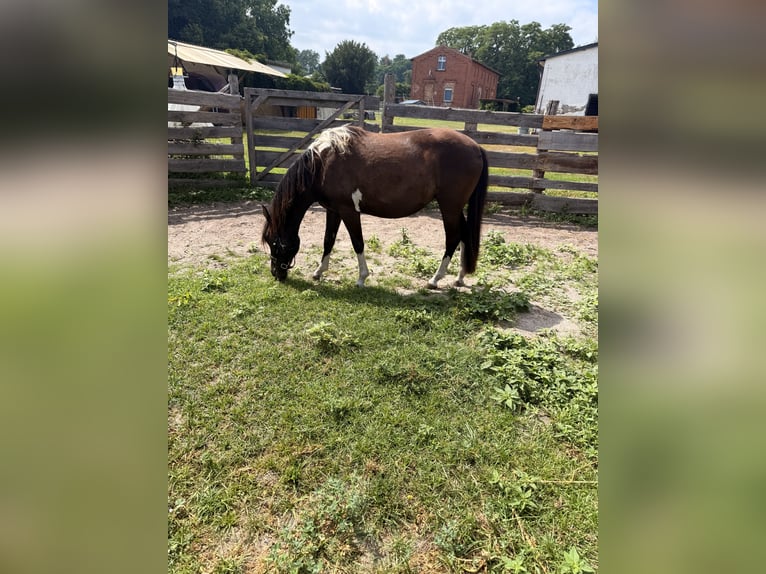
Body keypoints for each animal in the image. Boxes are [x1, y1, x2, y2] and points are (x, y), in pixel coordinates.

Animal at [261, 125, 488, 288]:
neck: (324, 163)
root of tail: (475, 147)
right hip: (456, 208)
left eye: (274, 243)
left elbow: (358, 243)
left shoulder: (349, 211)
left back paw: (435, 279)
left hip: (449, 207)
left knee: (453, 238)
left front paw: (362, 278)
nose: (276, 273)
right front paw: (319, 272)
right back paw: (460, 277)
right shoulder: (333, 210)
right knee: (464, 235)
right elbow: (328, 241)